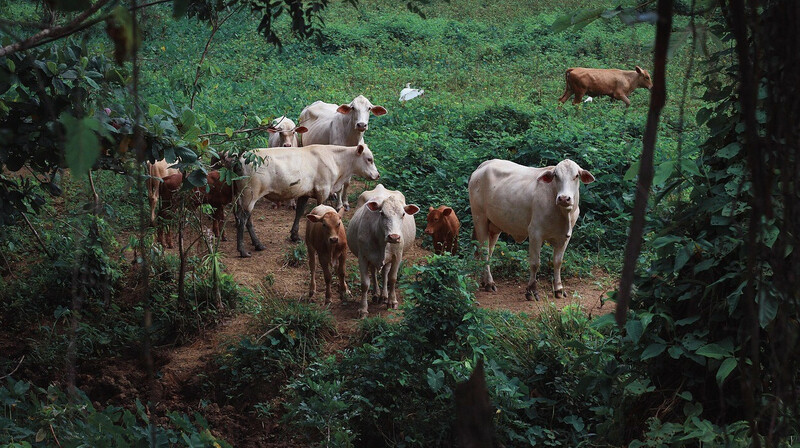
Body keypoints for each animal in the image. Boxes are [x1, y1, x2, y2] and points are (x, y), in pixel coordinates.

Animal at [236, 144, 380, 256]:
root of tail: (242, 158)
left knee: (246, 220)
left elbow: (299, 212)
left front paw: (294, 236)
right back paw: (243, 250)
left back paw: (257, 244)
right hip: (249, 195)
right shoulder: (323, 191)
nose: (377, 175)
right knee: (243, 220)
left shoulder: (304, 193)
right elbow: (321, 212)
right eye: (369, 159)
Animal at [346, 184, 418, 316]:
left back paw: (384, 296)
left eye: (403, 214)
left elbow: (392, 278)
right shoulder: (363, 257)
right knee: (374, 272)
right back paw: (376, 294)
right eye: (382, 213)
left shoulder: (397, 256)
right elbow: (365, 283)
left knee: (385, 273)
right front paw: (363, 309)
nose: (394, 237)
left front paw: (392, 301)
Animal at [468, 158, 592, 300]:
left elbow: (558, 262)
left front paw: (559, 289)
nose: (564, 198)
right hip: (480, 219)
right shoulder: (535, 233)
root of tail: (483, 165)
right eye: (556, 175)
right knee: (484, 251)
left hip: (494, 226)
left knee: (489, 251)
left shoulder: (565, 237)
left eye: (576, 176)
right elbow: (535, 263)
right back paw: (489, 283)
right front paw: (532, 290)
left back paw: (484, 281)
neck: (562, 213)